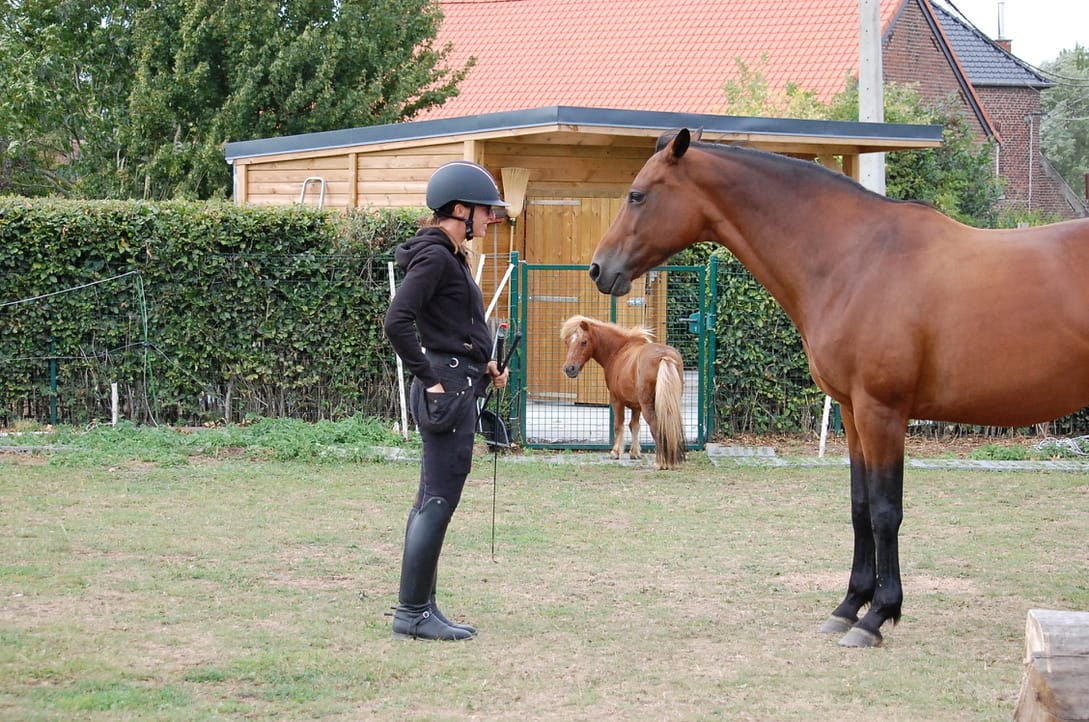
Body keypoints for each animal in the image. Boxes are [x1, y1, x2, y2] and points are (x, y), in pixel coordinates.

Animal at [560, 315, 687, 470]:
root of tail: (664, 357)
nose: (569, 369)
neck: (619, 350)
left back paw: (661, 462)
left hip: (649, 406)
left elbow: (618, 425)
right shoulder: (636, 406)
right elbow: (634, 425)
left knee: (656, 427)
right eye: (567, 342)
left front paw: (615, 452)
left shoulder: (617, 401)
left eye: (583, 342)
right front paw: (635, 453)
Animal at [589, 128, 1089, 647]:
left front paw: (878, 616)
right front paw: (849, 606)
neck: (856, 259)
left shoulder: (881, 411)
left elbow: (886, 511)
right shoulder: (851, 411)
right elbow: (859, 506)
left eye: (637, 195)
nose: (598, 268)